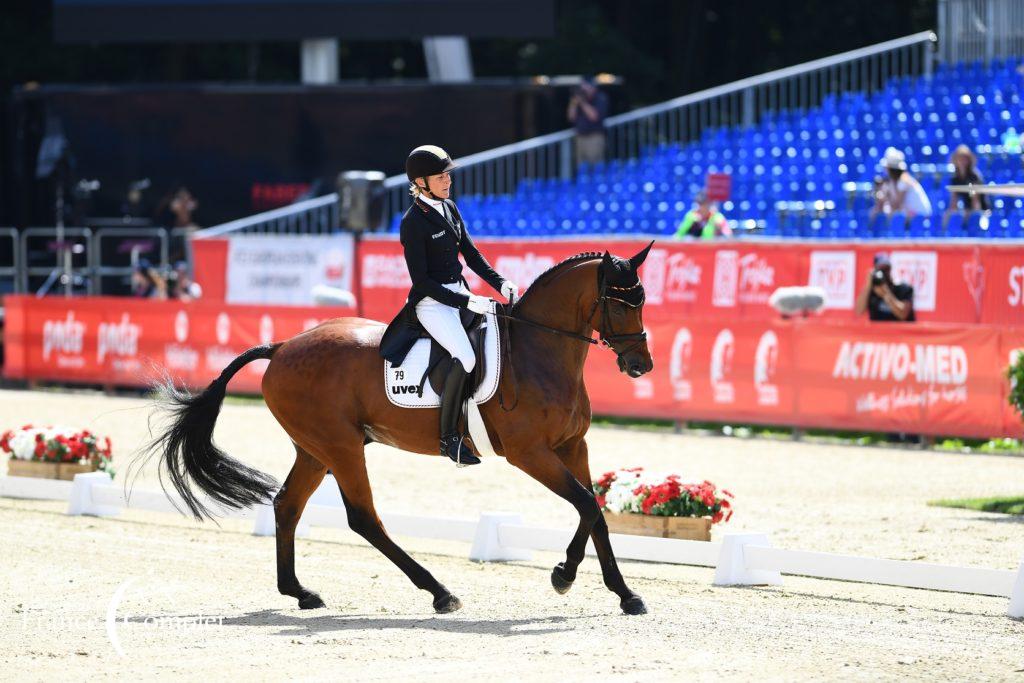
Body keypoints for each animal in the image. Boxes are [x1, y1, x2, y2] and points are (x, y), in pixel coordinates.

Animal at [144, 244, 655, 614]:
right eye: (620, 303)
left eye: (643, 301)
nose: (641, 366)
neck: (538, 352)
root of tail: (283, 345)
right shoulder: (529, 453)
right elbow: (586, 503)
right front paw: (564, 576)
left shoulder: (572, 446)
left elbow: (593, 511)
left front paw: (622, 593)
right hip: (341, 446)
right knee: (363, 517)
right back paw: (440, 592)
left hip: (314, 449)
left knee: (288, 505)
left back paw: (301, 593)